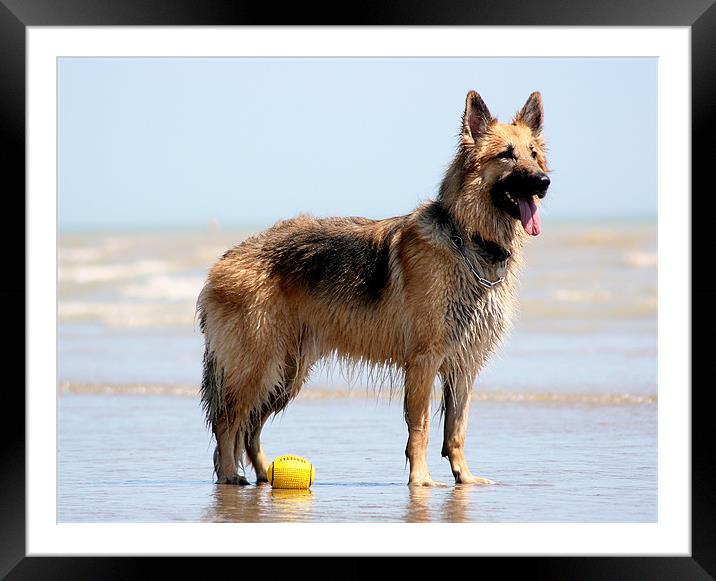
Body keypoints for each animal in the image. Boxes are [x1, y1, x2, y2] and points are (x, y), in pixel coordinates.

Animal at [196, 89, 548, 484]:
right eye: (506, 154)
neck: (467, 237)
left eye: (533, 153)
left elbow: (457, 429)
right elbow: (421, 428)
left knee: (251, 428)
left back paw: (264, 476)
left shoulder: (463, 367)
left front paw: (464, 477)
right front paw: (421, 480)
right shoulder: (424, 362)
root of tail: (222, 261)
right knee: (228, 421)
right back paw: (229, 475)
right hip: (257, 369)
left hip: (286, 374)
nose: (543, 182)